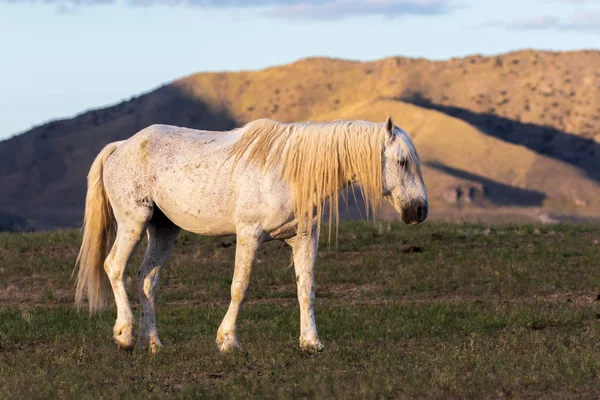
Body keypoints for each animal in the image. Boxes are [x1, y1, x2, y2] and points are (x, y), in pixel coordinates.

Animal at [74, 115, 426, 354]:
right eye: (402, 161)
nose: (420, 210)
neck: (288, 171)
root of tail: (121, 146)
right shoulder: (249, 235)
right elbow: (239, 288)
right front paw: (227, 341)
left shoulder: (304, 239)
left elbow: (306, 289)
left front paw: (310, 342)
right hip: (133, 221)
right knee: (114, 267)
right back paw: (124, 335)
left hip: (163, 229)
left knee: (147, 278)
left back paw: (154, 343)